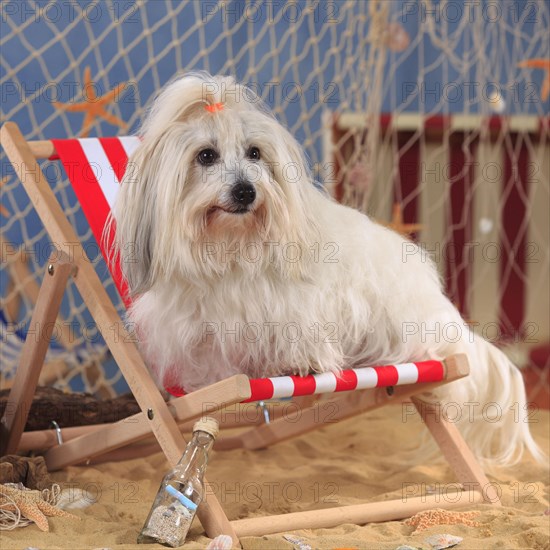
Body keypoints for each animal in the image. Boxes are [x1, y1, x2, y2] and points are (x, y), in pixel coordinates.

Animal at [112, 72, 544, 470]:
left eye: (254, 153)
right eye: (205, 156)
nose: (246, 191)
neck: (231, 251)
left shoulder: (297, 307)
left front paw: (301, 363)